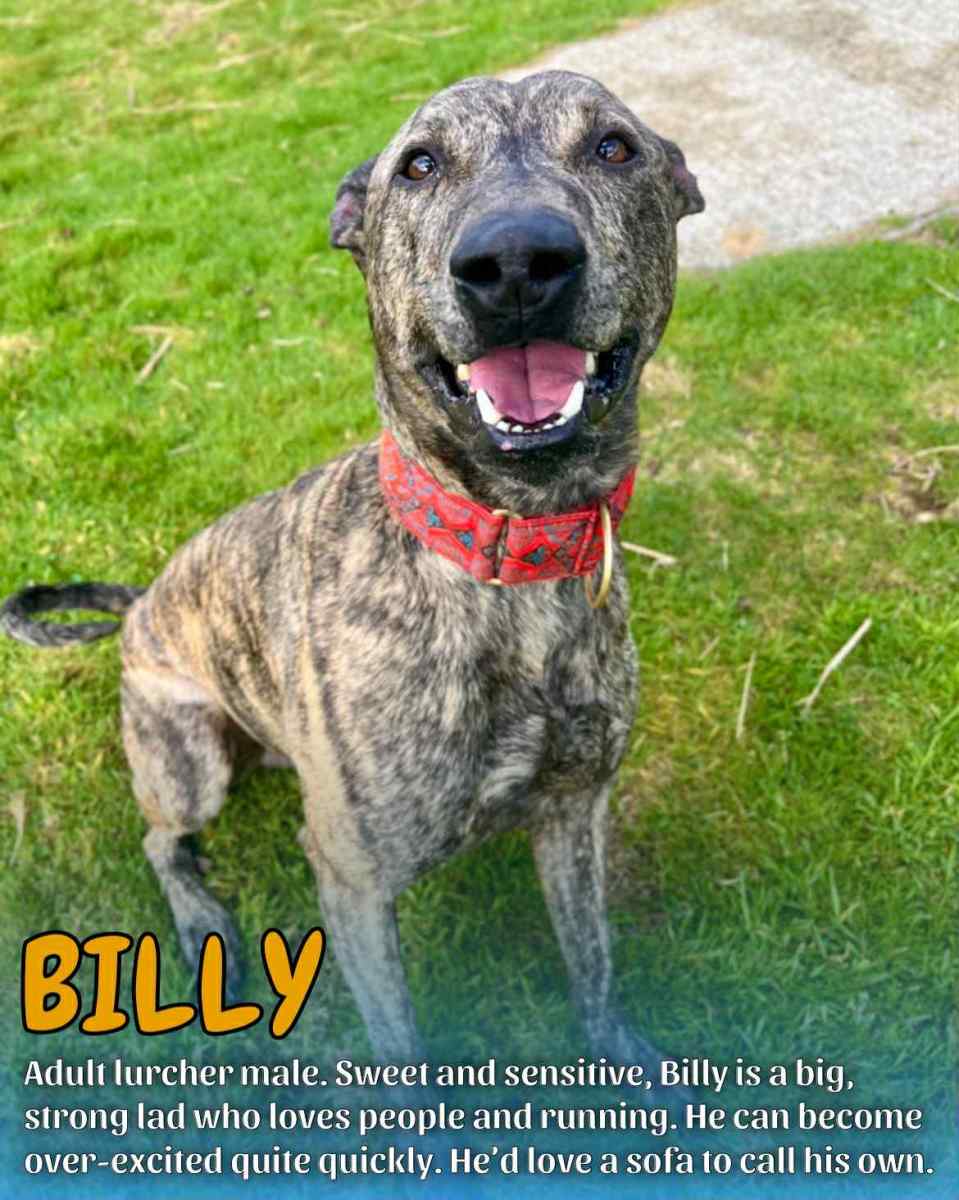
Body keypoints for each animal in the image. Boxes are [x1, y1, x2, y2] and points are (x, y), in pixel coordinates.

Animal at [3, 71, 703, 1074]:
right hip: (188, 759)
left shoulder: (574, 814)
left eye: (614, 148)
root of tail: (141, 606)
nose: (516, 261)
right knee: (160, 837)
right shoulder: (354, 882)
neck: (499, 556)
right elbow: (401, 1049)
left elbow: (592, 962)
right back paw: (200, 915)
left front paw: (625, 1057)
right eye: (418, 165)